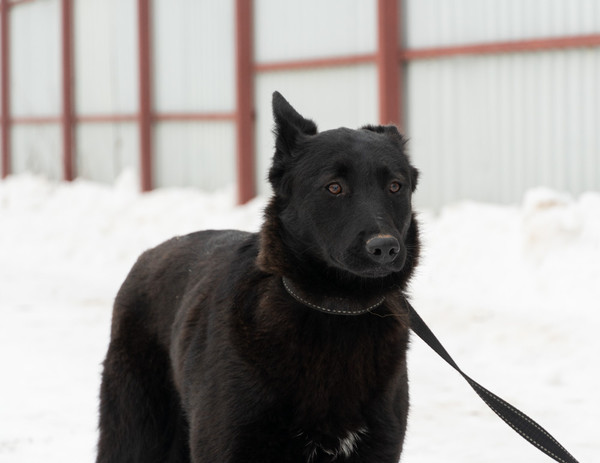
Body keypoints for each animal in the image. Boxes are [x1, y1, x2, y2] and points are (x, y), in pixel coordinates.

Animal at [96, 92, 420, 462]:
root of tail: (149, 254)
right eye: (334, 187)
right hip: (135, 439)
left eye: (395, 186)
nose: (385, 248)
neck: (337, 309)